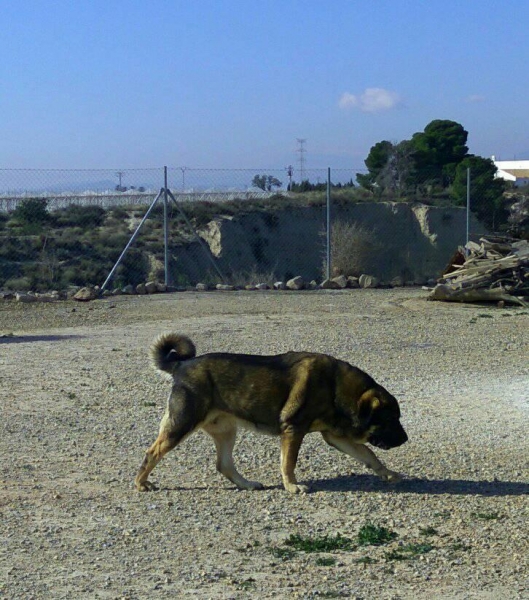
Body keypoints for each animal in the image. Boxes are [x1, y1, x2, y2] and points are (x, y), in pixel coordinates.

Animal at [134, 332, 406, 492]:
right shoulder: (294, 430)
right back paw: (141, 483)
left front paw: (388, 473)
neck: (336, 387)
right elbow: (288, 462)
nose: (405, 439)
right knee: (152, 453)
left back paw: (247, 484)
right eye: (390, 419)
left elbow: (370, 455)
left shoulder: (336, 437)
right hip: (181, 425)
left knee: (224, 465)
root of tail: (182, 364)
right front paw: (292, 486)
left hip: (226, 431)